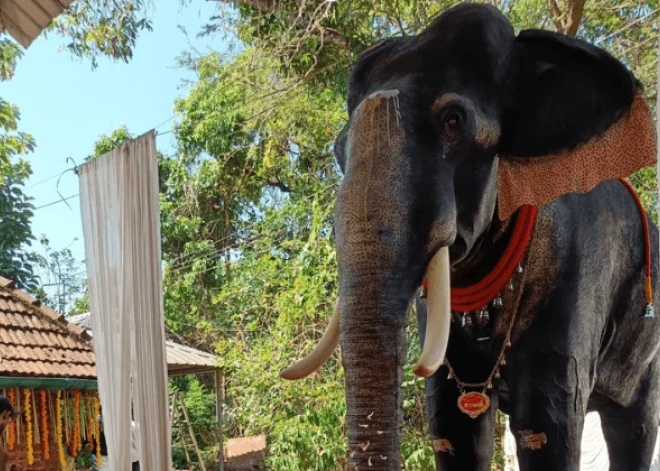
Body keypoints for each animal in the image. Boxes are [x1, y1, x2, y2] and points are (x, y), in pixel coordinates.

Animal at [280, 3, 660, 471]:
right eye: (338, 149)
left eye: (453, 121)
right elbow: (452, 427)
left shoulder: (575, 271)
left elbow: (547, 427)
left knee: (634, 426)